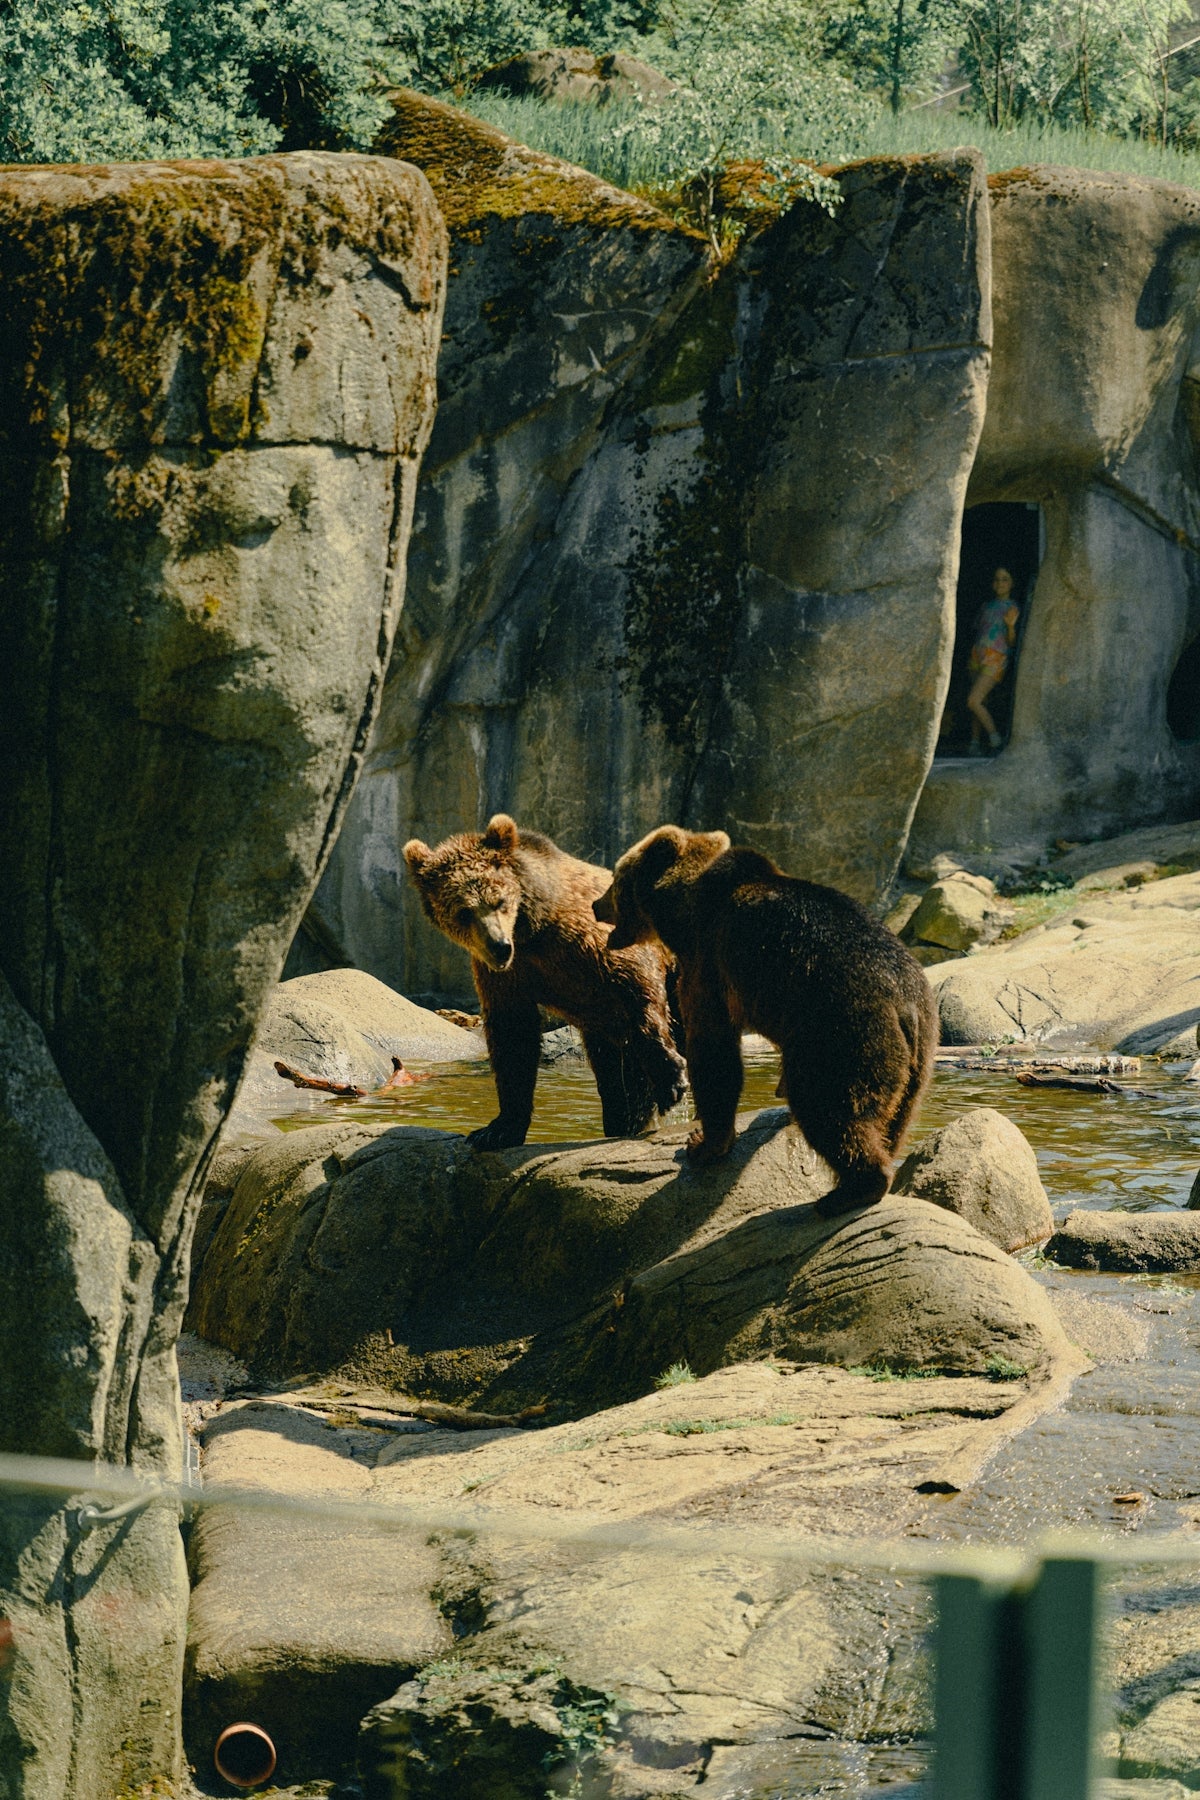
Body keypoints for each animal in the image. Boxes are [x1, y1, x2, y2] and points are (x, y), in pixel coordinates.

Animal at [403, 814, 687, 1149]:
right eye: (463, 912)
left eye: (498, 900)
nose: (499, 946)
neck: (532, 930)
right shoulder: (507, 975)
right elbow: (513, 1038)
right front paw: (497, 1129)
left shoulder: (593, 942)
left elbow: (638, 988)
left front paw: (671, 1080)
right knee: (621, 1087)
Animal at [594, 825, 938, 1217]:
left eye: (616, 878)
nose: (596, 904)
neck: (684, 911)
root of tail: (905, 1005)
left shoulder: (709, 960)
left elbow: (714, 1051)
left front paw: (701, 1143)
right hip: (921, 1055)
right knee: (895, 1118)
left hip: (846, 1027)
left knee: (829, 1104)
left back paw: (846, 1193)